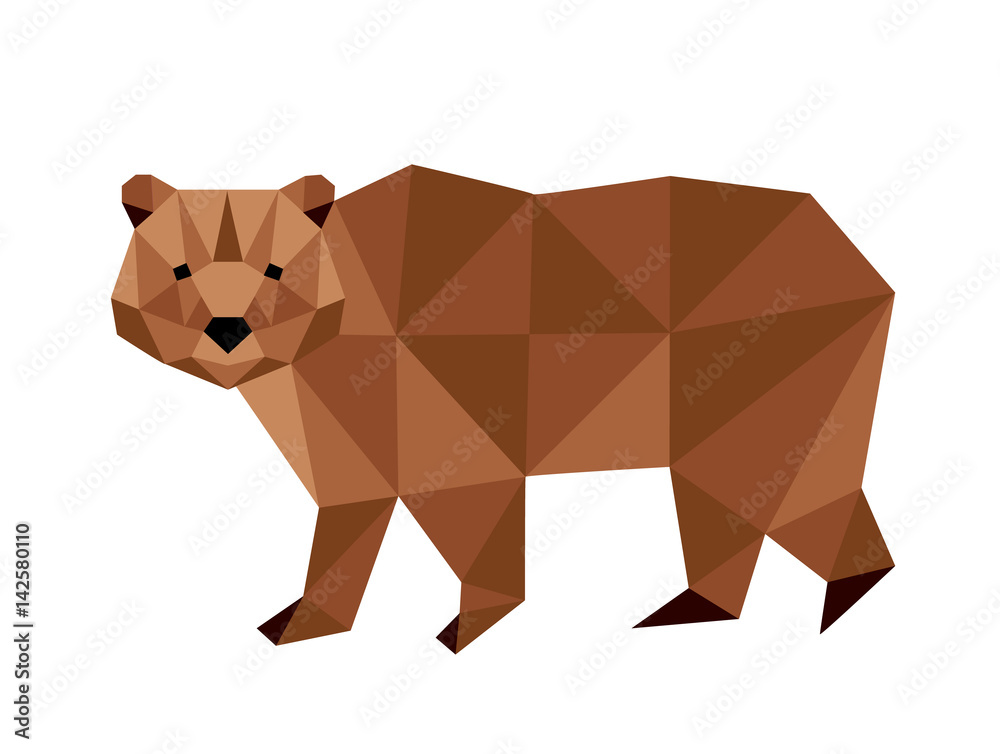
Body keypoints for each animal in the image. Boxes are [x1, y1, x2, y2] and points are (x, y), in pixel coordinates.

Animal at [112, 167, 895, 653]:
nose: (228, 325)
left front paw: (465, 627)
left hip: (760, 411)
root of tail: (854, 253)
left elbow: (475, 542)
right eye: (179, 269)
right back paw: (691, 609)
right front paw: (299, 623)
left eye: (276, 269)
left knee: (801, 501)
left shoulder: (456, 449)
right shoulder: (349, 457)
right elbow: (338, 545)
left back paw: (840, 597)